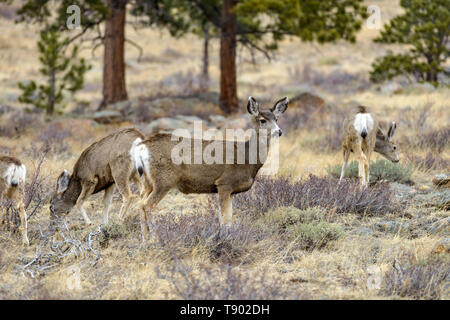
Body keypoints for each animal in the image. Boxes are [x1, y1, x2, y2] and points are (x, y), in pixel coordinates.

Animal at [131, 96, 288, 239]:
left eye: (276, 119)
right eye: (262, 120)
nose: (279, 131)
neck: (247, 158)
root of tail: (141, 148)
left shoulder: (231, 190)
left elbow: (229, 217)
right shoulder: (224, 183)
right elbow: (223, 218)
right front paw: (224, 239)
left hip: (148, 182)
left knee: (140, 203)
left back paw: (145, 240)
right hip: (164, 180)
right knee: (147, 205)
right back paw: (155, 239)